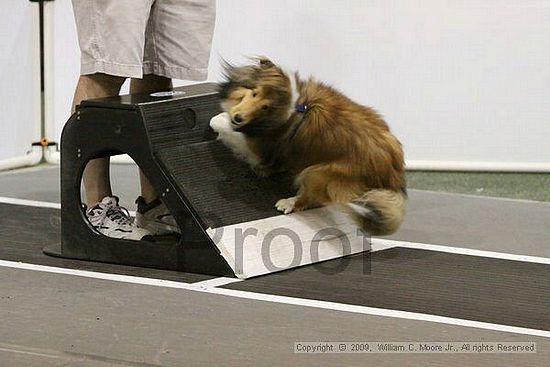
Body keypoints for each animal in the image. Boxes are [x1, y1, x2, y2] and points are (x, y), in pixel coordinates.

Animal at [211, 57, 410, 236]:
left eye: (265, 107)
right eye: (254, 94)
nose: (238, 118)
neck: (294, 106)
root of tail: (395, 171)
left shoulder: (260, 148)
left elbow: (229, 130)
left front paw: (219, 121)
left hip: (321, 172)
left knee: (310, 196)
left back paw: (288, 202)